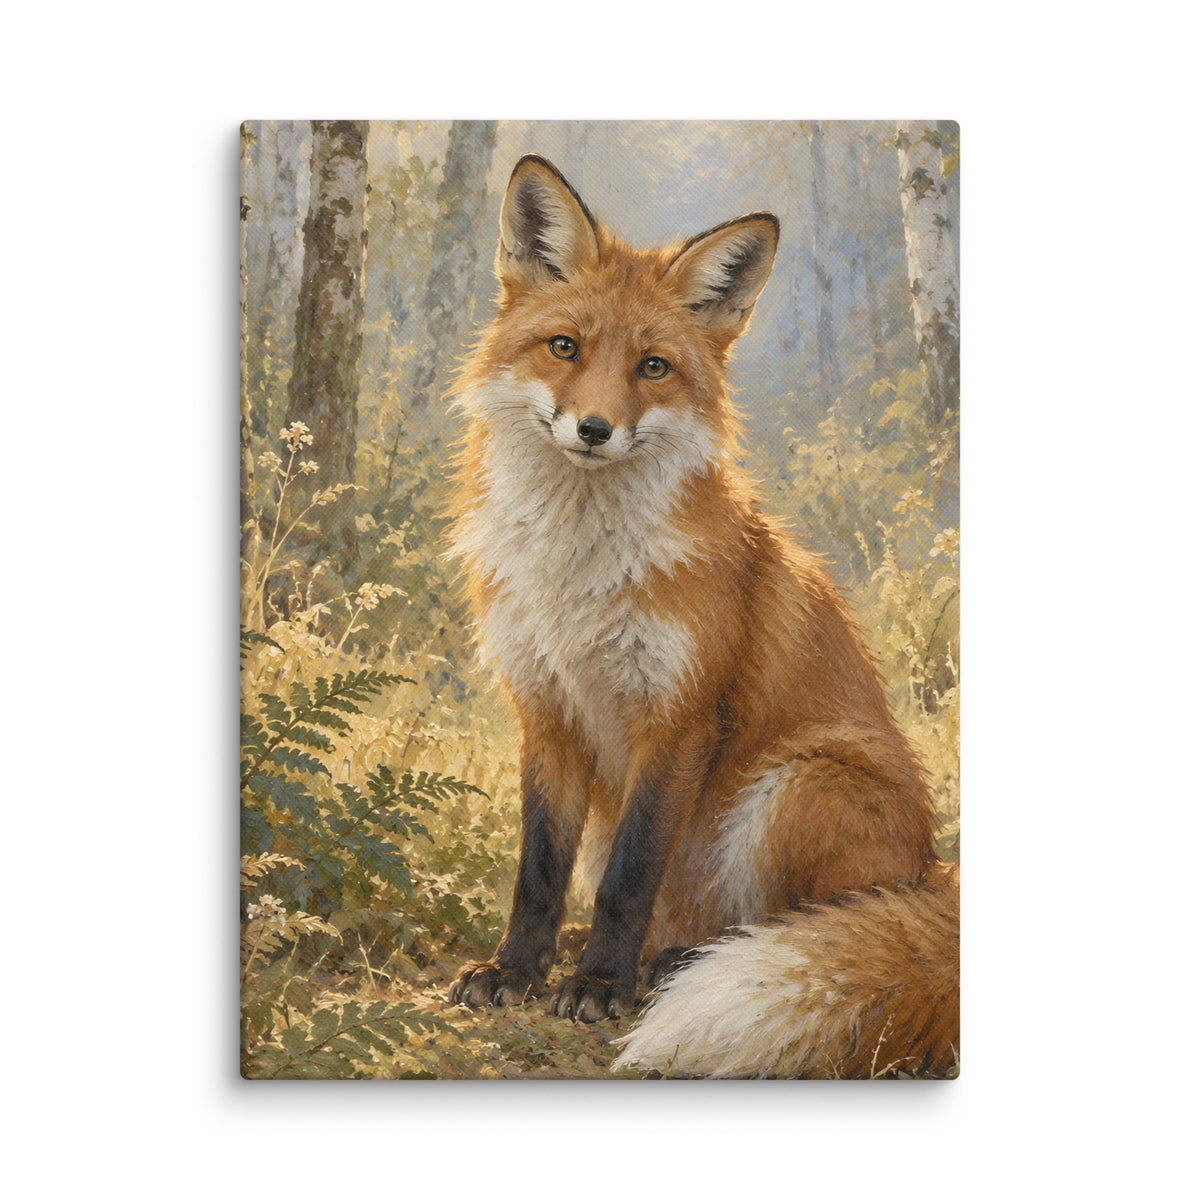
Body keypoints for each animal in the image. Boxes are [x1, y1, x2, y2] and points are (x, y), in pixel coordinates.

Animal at [446, 153, 959, 1078]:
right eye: (565, 347)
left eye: (653, 366)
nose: (594, 428)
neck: (580, 575)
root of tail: (933, 871)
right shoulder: (545, 706)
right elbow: (538, 868)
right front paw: (517, 970)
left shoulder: (678, 713)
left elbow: (630, 874)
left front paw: (598, 985)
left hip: (799, 783)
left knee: (798, 923)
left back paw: (675, 965)